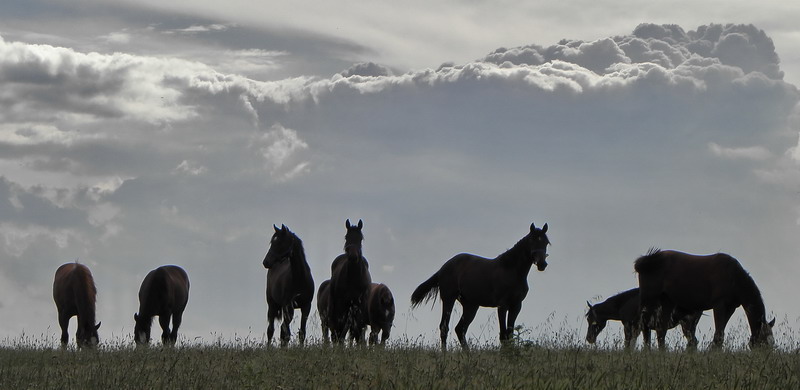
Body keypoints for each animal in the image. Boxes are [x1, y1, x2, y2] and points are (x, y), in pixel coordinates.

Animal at [412, 222, 552, 350]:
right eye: (532, 240)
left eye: (546, 242)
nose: (542, 264)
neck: (511, 270)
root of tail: (443, 268)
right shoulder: (502, 305)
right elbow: (503, 335)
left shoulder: (516, 305)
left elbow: (510, 334)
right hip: (449, 299)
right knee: (444, 327)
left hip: (471, 306)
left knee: (460, 329)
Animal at [636, 248, 772, 348]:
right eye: (764, 342)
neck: (733, 277)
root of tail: (645, 261)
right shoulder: (719, 305)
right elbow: (719, 334)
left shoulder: (730, 308)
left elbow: (720, 333)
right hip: (649, 301)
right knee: (645, 327)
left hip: (667, 302)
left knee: (661, 330)